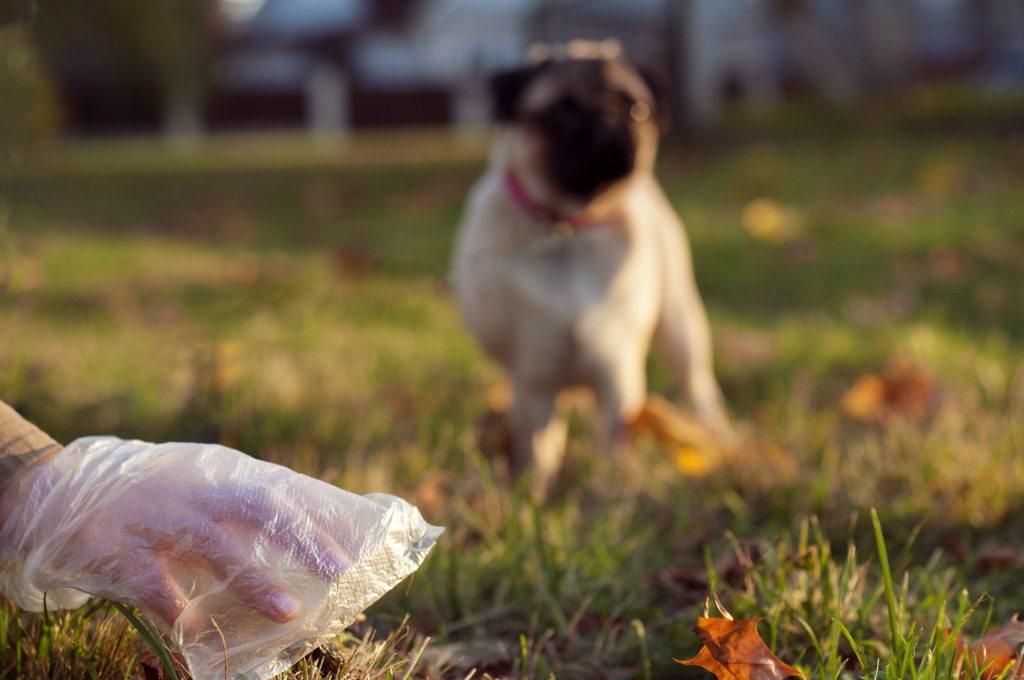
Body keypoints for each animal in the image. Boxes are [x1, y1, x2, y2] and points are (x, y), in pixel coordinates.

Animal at [452, 42, 733, 499]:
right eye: (560, 112)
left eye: (637, 108)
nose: (606, 117)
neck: (569, 227)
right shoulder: (536, 379)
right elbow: (537, 447)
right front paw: (533, 494)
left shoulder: (616, 375)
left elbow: (613, 444)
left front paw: (611, 492)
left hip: (679, 324)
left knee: (696, 385)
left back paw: (719, 433)